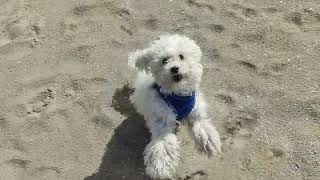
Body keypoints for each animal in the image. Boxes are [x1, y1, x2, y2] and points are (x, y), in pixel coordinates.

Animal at [129, 34, 221, 179]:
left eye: (181, 56)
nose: (174, 68)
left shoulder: (195, 111)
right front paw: (160, 167)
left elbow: (201, 125)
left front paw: (209, 142)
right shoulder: (162, 122)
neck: (177, 94)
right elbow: (163, 144)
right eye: (164, 61)